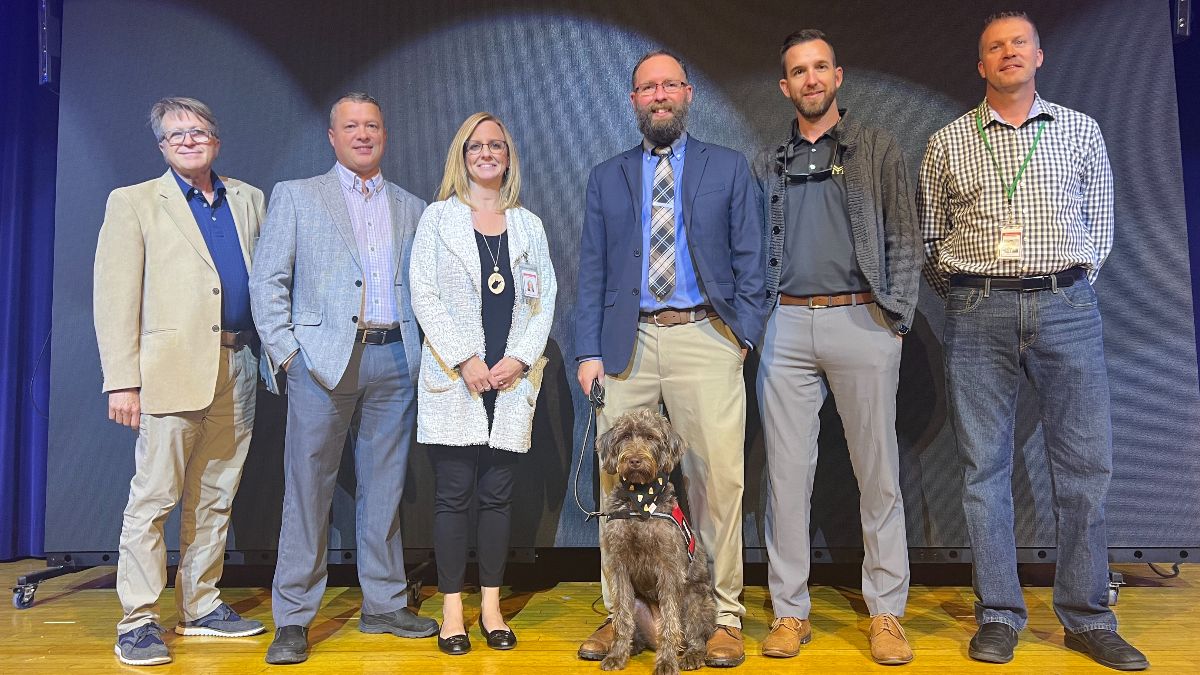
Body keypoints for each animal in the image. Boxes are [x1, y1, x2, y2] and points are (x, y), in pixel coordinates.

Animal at [597, 408, 710, 667]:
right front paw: (617, 654)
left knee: (694, 635)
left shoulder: (669, 568)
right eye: (625, 436)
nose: (634, 460)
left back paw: (691, 654)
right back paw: (632, 647)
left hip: (694, 600)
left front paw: (666, 662)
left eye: (650, 437)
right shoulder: (619, 565)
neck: (640, 499)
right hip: (638, 602)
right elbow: (621, 617)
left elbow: (670, 620)